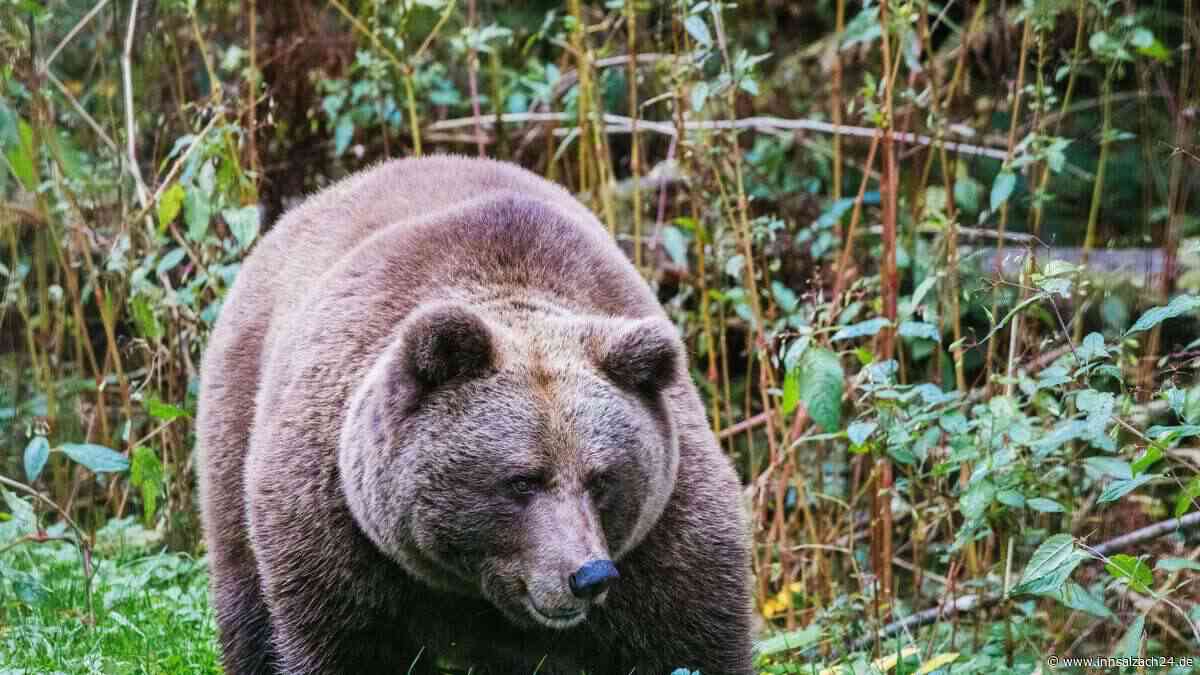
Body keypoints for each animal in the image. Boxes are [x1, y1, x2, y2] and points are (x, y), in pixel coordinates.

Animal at [196, 155, 753, 674]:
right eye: (522, 480)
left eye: (602, 480)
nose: (589, 576)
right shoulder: (336, 524)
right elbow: (342, 642)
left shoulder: (665, 536)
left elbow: (691, 637)